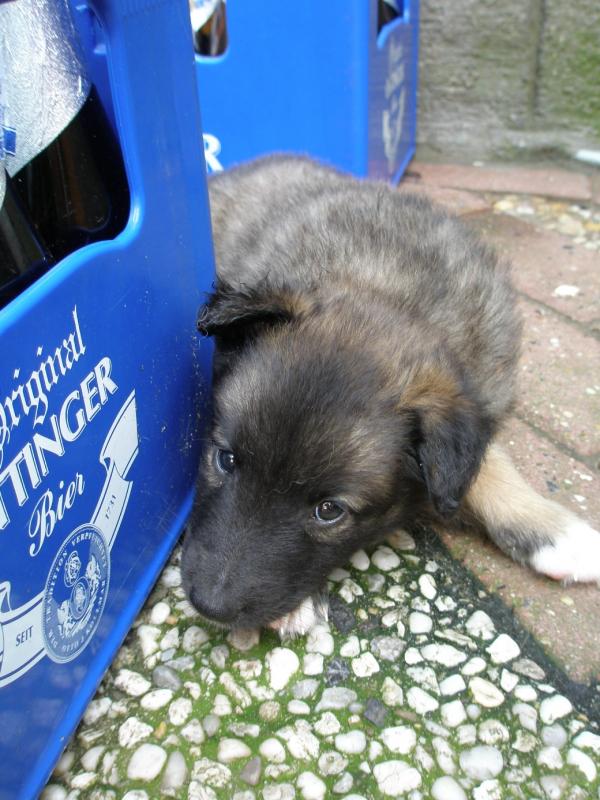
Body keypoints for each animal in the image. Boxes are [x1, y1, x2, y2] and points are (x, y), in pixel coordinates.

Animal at [182, 155, 600, 636]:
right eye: (225, 459)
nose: (209, 605)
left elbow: (484, 463)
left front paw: (553, 532)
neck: (388, 292)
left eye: (330, 510)